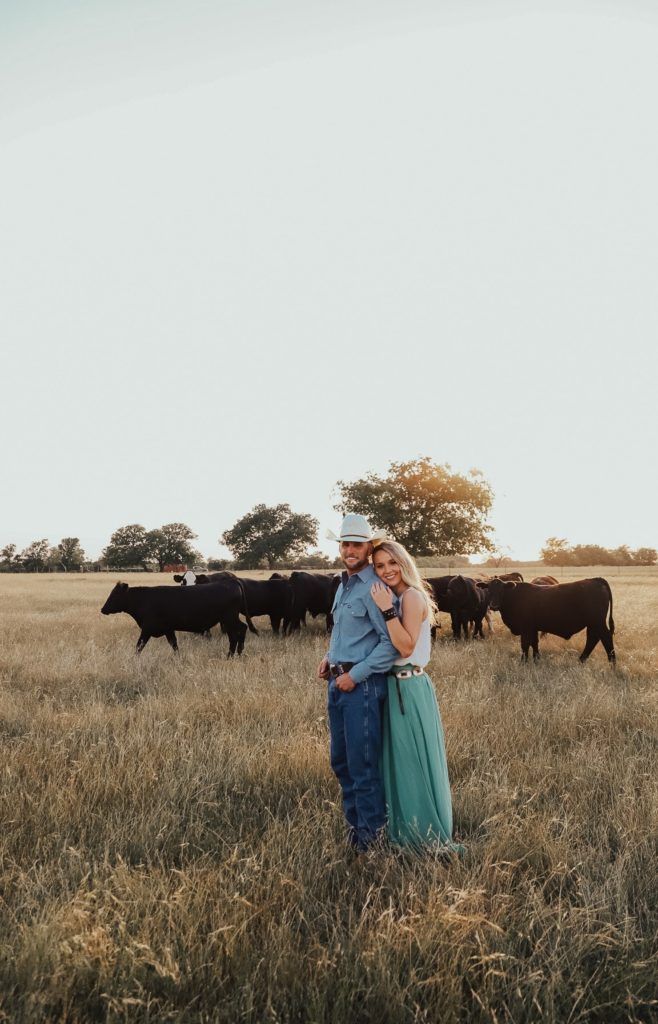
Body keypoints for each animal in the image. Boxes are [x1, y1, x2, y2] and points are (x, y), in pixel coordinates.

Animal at [100, 577, 249, 655]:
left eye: (115, 595)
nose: (103, 609)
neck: (144, 600)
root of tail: (231, 582)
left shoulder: (147, 629)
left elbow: (138, 647)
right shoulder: (168, 629)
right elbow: (174, 645)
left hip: (229, 618)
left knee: (239, 631)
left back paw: (233, 654)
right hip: (228, 619)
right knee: (238, 632)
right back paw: (235, 654)